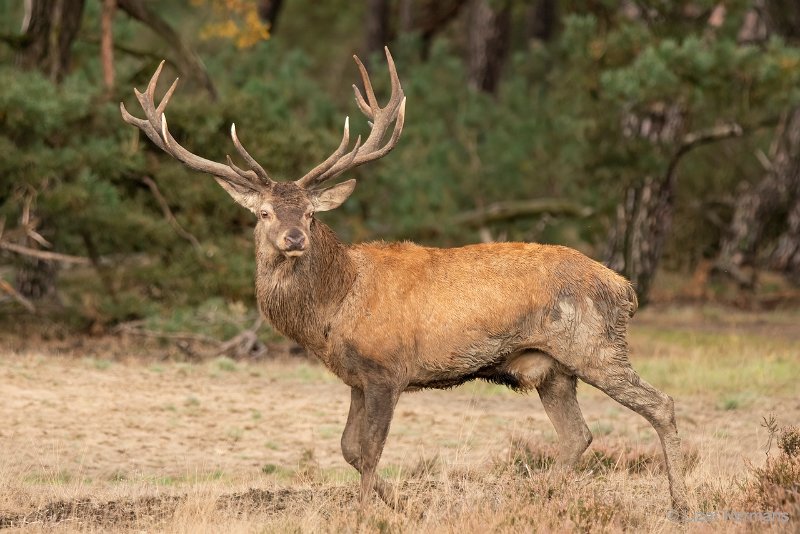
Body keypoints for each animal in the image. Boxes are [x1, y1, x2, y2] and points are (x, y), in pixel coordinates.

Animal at [122, 49, 692, 516]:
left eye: (310, 213)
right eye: (263, 213)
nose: (293, 238)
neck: (334, 307)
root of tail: (625, 288)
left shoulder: (387, 369)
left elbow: (369, 450)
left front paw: (365, 516)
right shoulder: (356, 377)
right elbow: (349, 449)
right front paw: (402, 506)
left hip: (594, 346)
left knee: (659, 405)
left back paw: (678, 505)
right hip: (552, 369)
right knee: (579, 436)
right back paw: (537, 500)